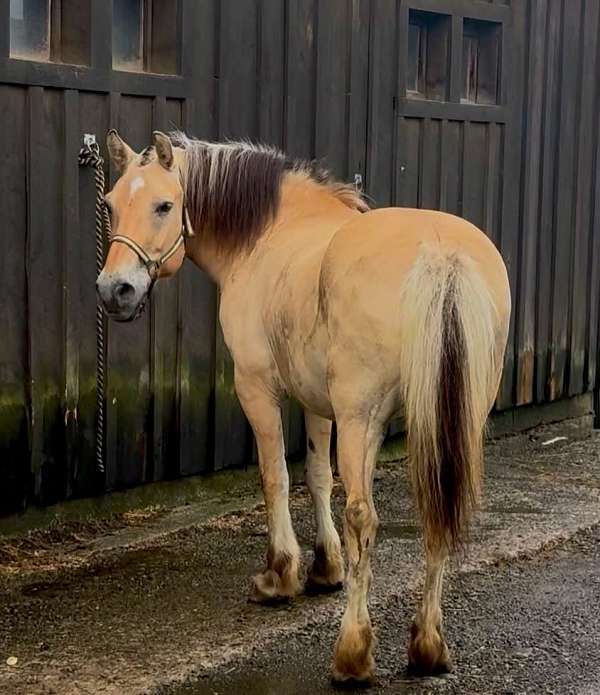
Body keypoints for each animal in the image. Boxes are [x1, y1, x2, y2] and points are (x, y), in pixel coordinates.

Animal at [97, 129, 511, 684]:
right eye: (111, 204)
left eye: (164, 205)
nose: (115, 290)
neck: (269, 233)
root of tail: (442, 256)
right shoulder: (319, 402)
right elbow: (316, 476)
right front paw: (325, 568)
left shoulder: (257, 389)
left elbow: (275, 478)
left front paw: (280, 574)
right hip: (452, 424)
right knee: (436, 512)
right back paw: (427, 646)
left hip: (362, 420)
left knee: (364, 517)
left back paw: (352, 653)